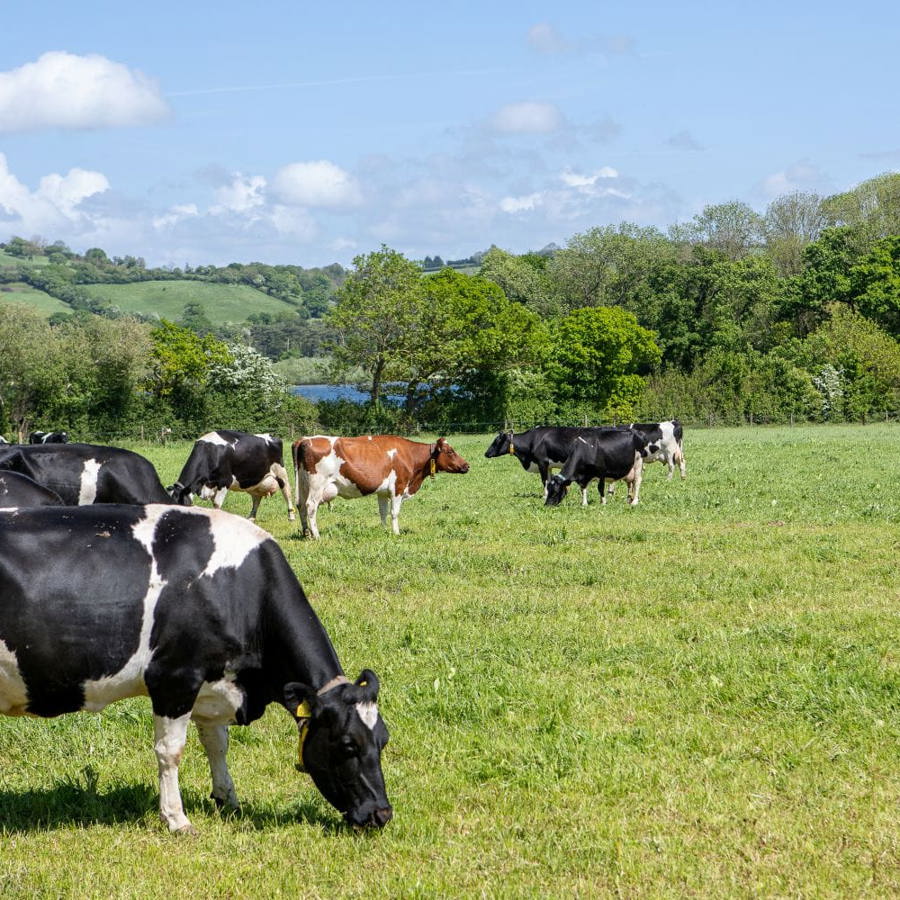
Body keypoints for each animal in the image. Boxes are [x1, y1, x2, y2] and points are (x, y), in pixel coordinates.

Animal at [0, 504, 391, 832]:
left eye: (384, 740)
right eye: (348, 745)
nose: (382, 814)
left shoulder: (213, 682)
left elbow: (217, 744)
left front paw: (227, 799)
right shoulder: (174, 679)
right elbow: (170, 751)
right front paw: (176, 819)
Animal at [293, 434, 470, 538]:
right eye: (450, 452)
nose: (467, 465)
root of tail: (304, 439)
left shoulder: (383, 492)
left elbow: (383, 512)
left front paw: (384, 531)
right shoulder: (398, 487)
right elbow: (394, 512)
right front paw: (396, 533)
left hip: (303, 484)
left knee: (301, 506)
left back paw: (306, 533)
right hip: (317, 485)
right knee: (310, 507)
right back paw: (316, 535)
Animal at [485, 426, 630, 505]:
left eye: (496, 441)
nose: (486, 453)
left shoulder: (542, 462)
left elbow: (544, 480)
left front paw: (544, 495)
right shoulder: (548, 465)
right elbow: (548, 480)